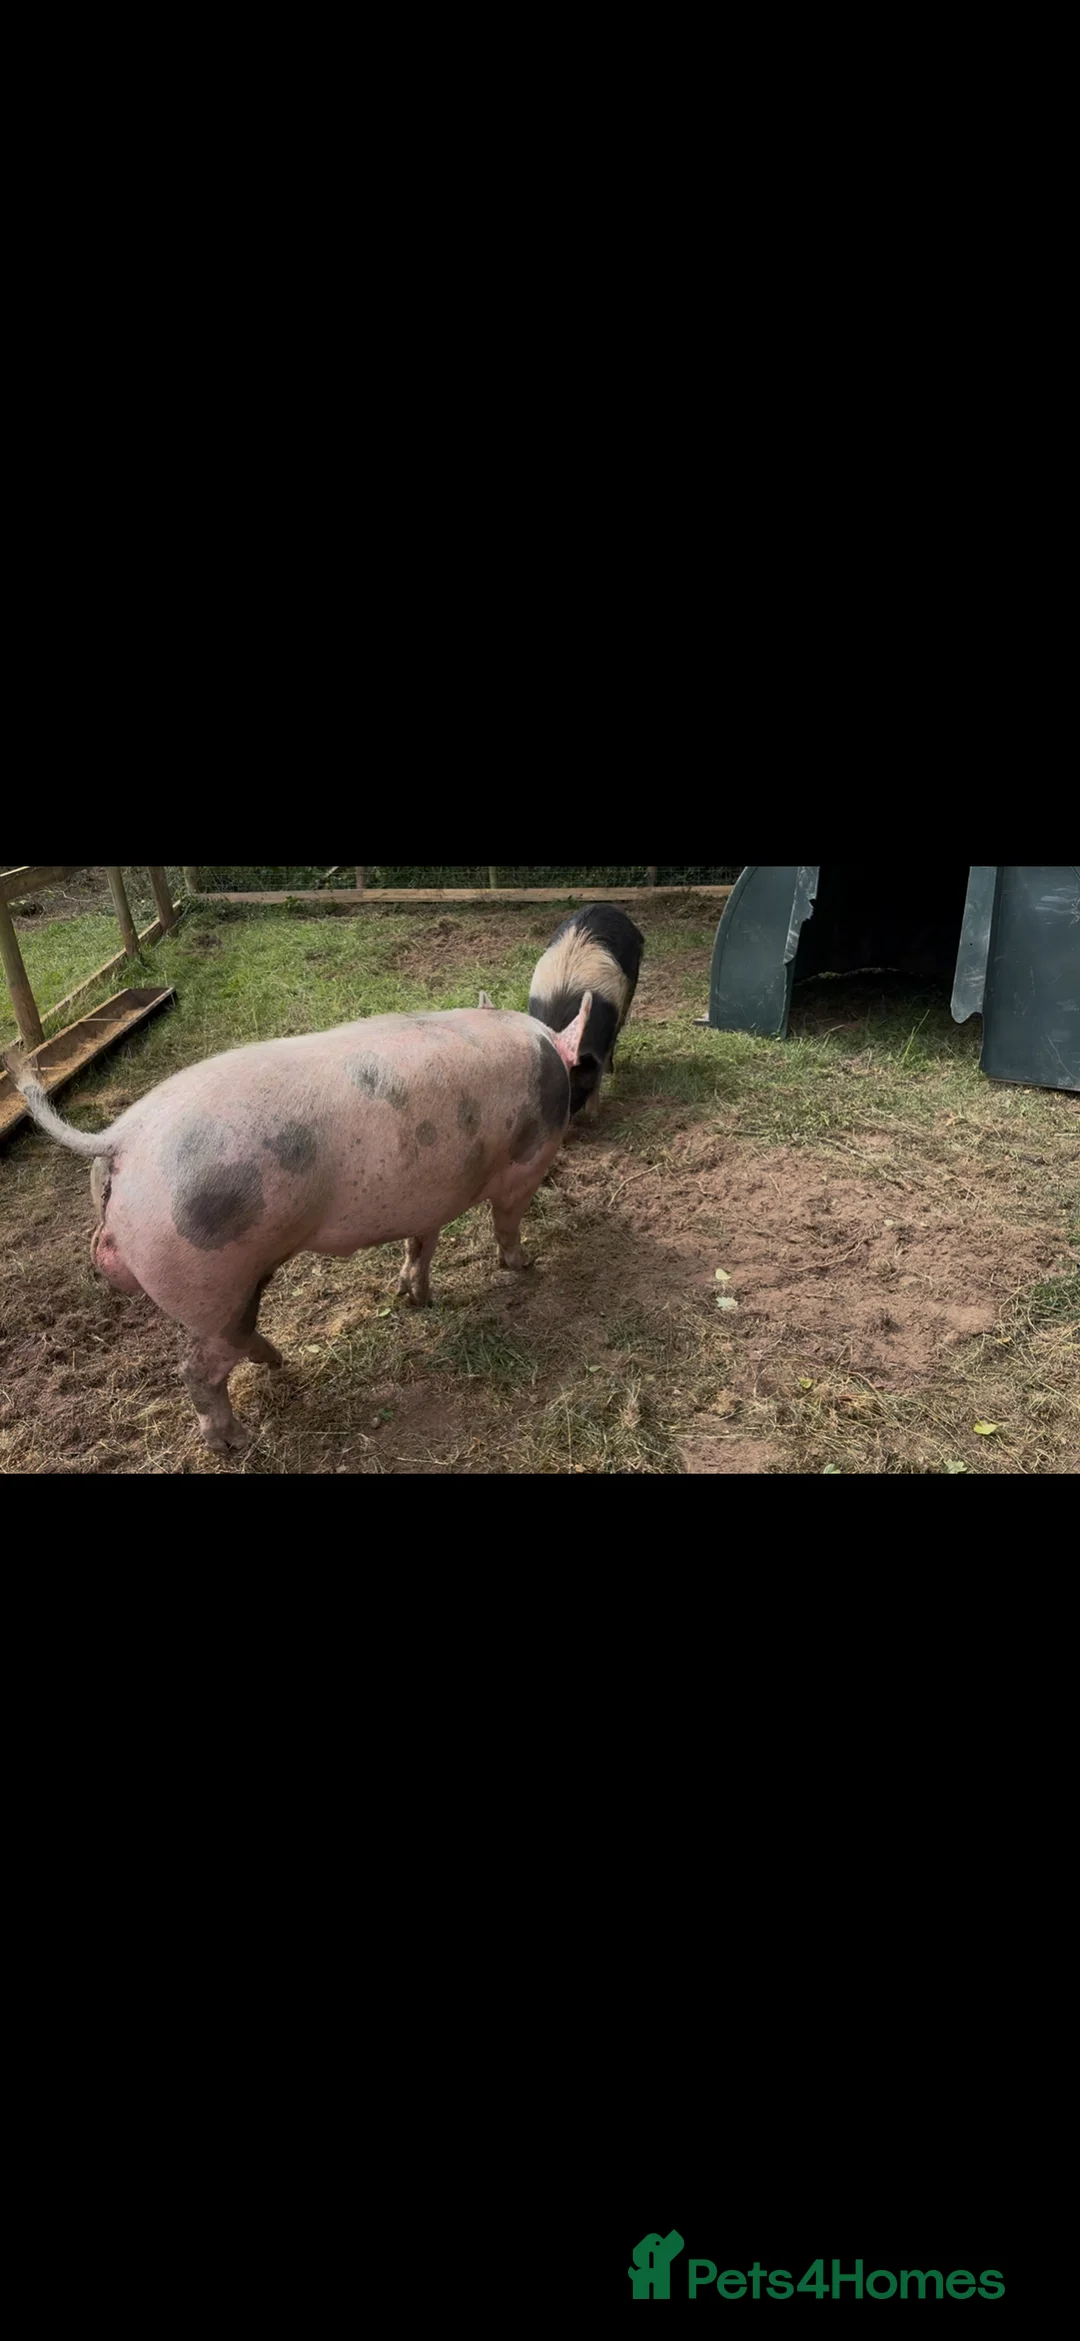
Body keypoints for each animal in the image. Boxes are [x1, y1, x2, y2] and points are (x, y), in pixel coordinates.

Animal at [4, 997, 591, 1453]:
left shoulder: (431, 1199)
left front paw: (418, 1299)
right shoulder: (527, 1166)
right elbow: (506, 1221)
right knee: (197, 1370)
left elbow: (421, 1244)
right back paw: (237, 1442)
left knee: (233, 1343)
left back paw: (278, 1363)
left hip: (228, 1280)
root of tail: (123, 1137)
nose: (532, 1265)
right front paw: (526, 1265)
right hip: (213, 1280)